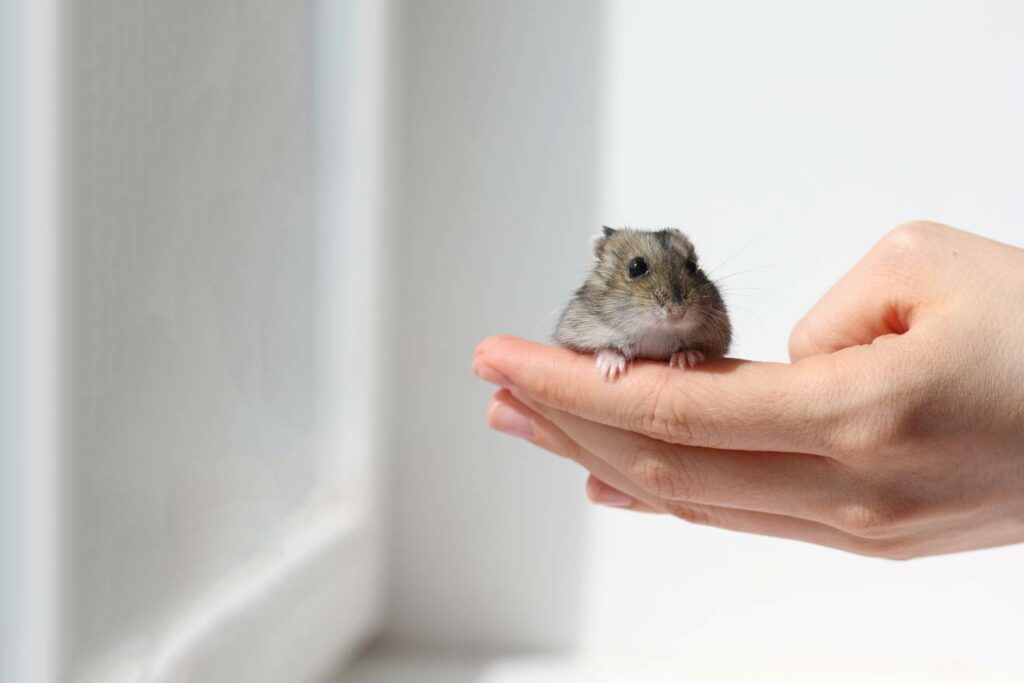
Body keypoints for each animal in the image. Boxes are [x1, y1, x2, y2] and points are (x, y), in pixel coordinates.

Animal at [554, 227, 732, 380]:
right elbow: (606, 348)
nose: (678, 312)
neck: (655, 333)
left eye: (692, 266)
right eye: (636, 267)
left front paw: (686, 359)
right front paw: (611, 368)